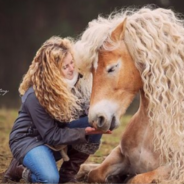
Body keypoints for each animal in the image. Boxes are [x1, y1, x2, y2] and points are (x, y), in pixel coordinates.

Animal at [74, 6, 184, 184]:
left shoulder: (176, 167)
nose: (97, 119)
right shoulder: (120, 154)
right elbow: (96, 174)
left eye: (112, 67)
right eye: (92, 70)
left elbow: (136, 179)